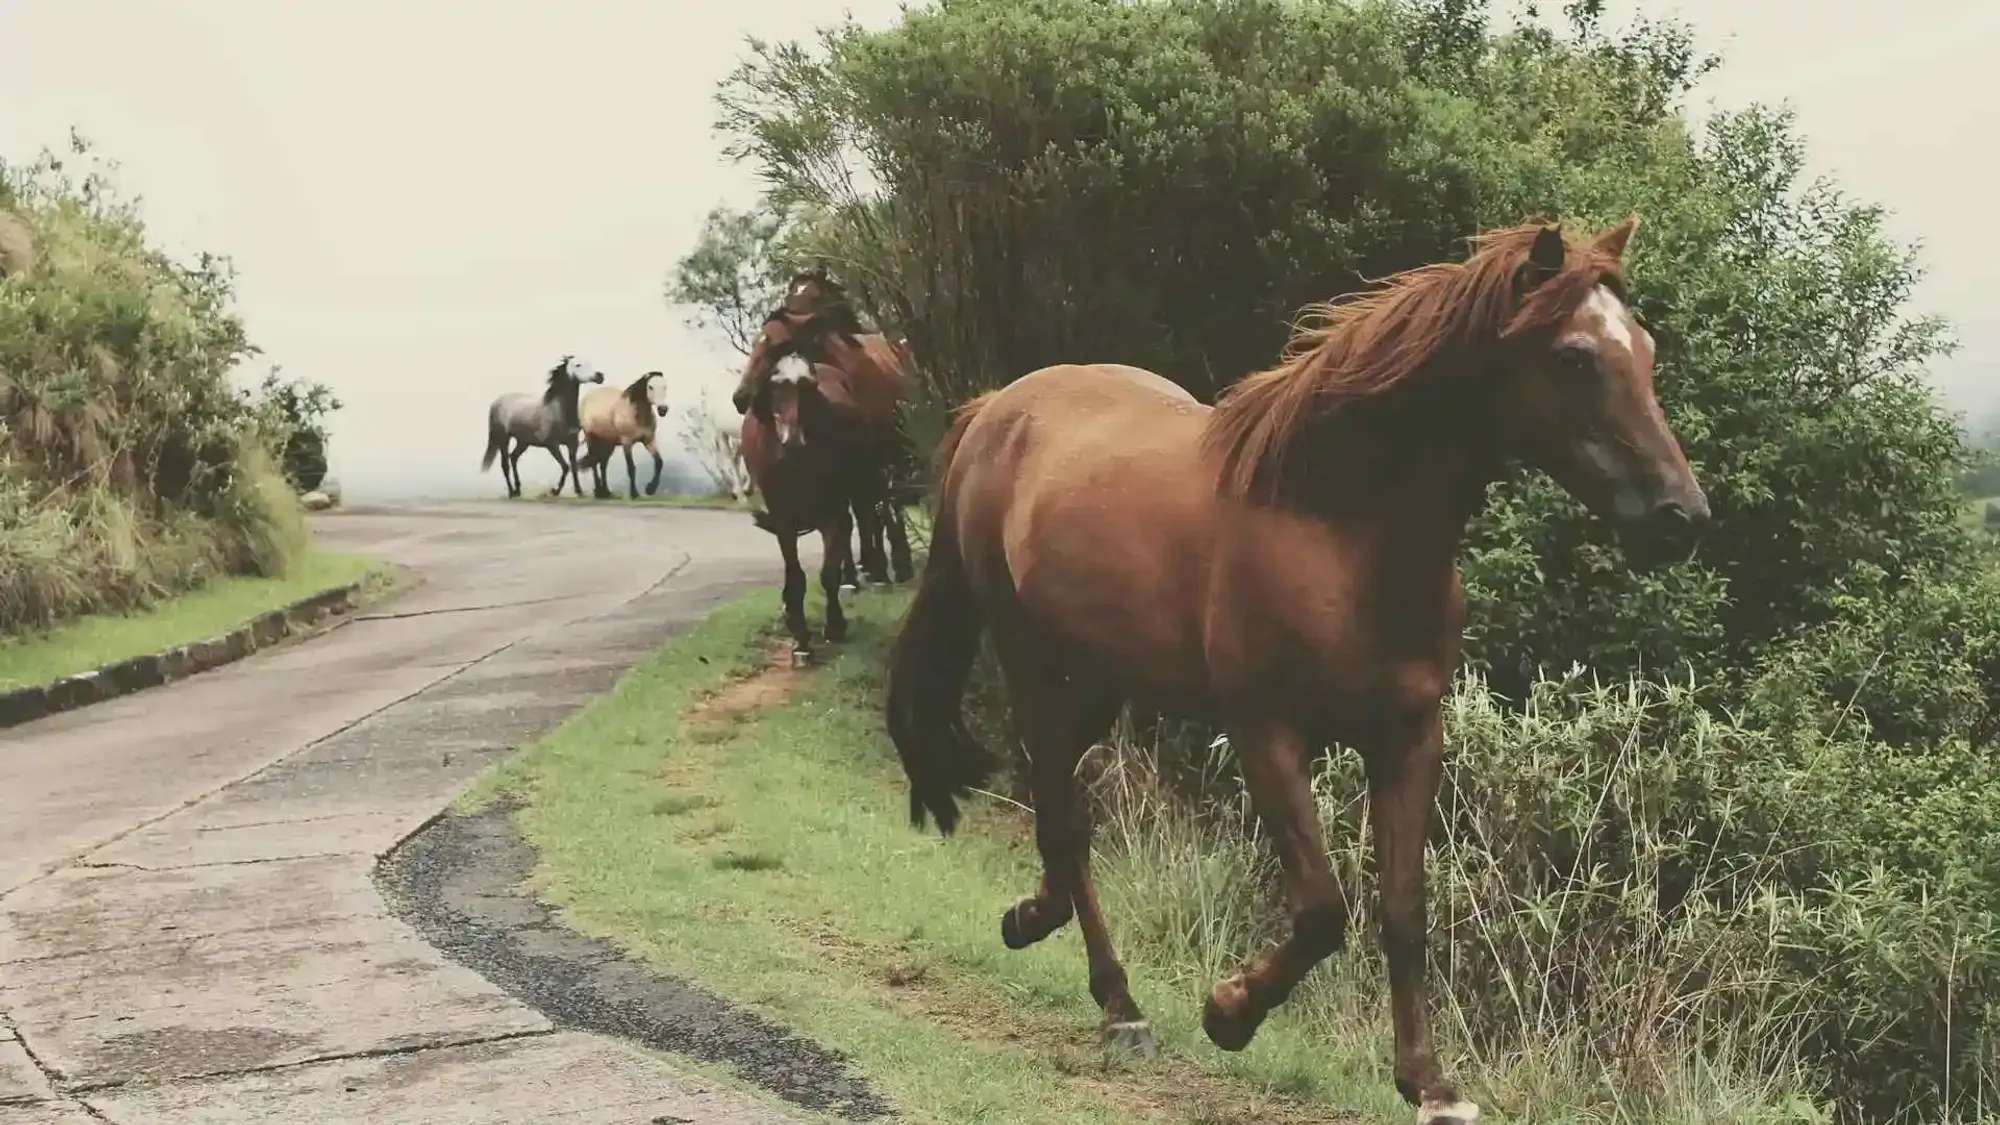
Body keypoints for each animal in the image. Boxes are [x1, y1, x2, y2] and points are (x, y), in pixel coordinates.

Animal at [480, 356, 603, 498]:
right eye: (578, 365)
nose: (600, 376)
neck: (558, 411)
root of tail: (495, 403)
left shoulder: (572, 444)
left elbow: (573, 467)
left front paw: (579, 491)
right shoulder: (552, 445)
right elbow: (565, 466)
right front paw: (555, 491)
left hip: (523, 442)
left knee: (513, 458)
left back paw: (518, 489)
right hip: (503, 439)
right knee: (505, 465)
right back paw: (511, 492)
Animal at [577, 369, 671, 499]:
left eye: (665, 386)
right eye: (650, 387)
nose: (663, 409)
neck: (636, 415)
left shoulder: (649, 440)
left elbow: (659, 462)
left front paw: (650, 489)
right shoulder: (627, 443)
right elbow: (631, 468)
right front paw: (634, 493)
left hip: (608, 444)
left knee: (603, 465)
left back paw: (606, 492)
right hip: (591, 438)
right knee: (594, 462)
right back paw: (599, 492)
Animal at [734, 272, 917, 587]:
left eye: (775, 344)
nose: (740, 396)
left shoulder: (869, 462)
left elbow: (867, 511)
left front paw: (876, 568)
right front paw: (853, 573)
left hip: (891, 456)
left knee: (887, 504)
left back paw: (897, 562)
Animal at [742, 353, 866, 665]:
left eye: (808, 390)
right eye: (775, 389)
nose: (792, 439)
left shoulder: (834, 511)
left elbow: (829, 573)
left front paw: (835, 625)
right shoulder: (783, 519)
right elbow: (796, 577)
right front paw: (800, 640)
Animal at [882, 216, 1708, 1125]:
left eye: (1646, 349)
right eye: (1575, 357)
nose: (1681, 516)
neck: (1339, 530)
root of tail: (996, 409)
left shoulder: (1409, 736)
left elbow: (1403, 908)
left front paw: (1430, 1082)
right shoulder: (1267, 730)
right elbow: (1320, 909)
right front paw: (1228, 1010)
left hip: (1100, 681)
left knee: (1063, 819)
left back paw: (1035, 919)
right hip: (1037, 662)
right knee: (1065, 819)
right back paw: (1118, 1003)